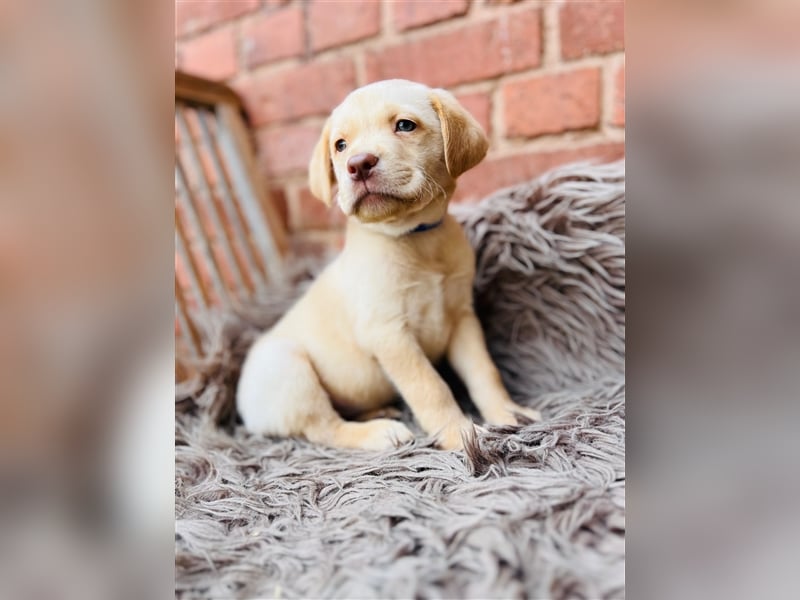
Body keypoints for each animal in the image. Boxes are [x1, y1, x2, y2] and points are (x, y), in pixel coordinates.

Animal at [234, 79, 540, 448]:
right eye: (340, 145)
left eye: (405, 125)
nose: (358, 164)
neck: (414, 237)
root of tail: (242, 409)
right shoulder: (389, 333)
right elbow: (431, 387)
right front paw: (460, 434)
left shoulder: (461, 319)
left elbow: (484, 371)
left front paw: (507, 413)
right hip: (289, 370)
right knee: (325, 428)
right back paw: (380, 433)